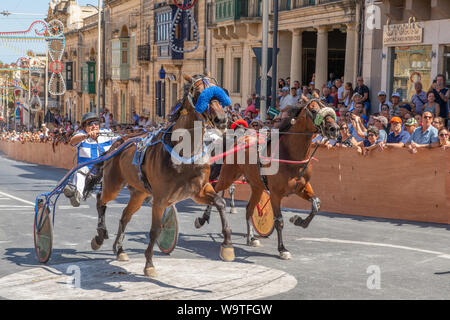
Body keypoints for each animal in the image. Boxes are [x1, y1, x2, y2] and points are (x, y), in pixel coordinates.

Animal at [85, 74, 234, 276]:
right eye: (198, 93)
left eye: (219, 92)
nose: (221, 119)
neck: (183, 153)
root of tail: (119, 141)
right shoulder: (161, 199)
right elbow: (155, 230)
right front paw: (149, 264)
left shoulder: (198, 191)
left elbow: (220, 202)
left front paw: (227, 245)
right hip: (114, 184)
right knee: (101, 199)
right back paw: (100, 236)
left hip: (139, 193)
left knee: (125, 216)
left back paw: (120, 249)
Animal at [193, 100, 338, 260]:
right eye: (313, 110)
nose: (334, 128)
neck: (290, 155)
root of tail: (239, 138)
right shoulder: (275, 193)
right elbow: (279, 221)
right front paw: (282, 249)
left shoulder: (302, 187)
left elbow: (316, 204)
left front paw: (299, 221)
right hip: (228, 175)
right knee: (216, 189)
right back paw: (203, 219)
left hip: (257, 186)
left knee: (249, 209)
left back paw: (251, 238)